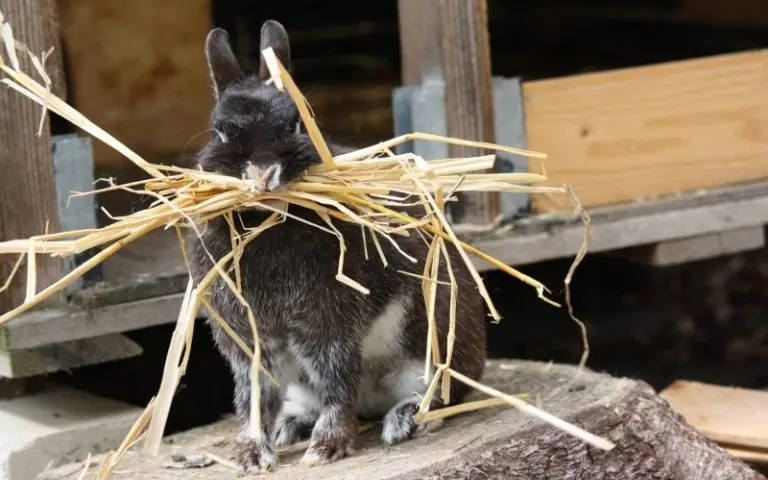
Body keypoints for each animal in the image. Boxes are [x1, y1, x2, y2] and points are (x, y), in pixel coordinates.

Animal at [185, 20, 488, 474]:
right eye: (220, 130)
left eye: (297, 123)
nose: (263, 172)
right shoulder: (249, 338)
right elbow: (254, 396)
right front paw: (252, 455)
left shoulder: (328, 322)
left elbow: (336, 378)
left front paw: (326, 449)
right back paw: (290, 426)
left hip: (429, 353)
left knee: (439, 394)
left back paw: (404, 420)